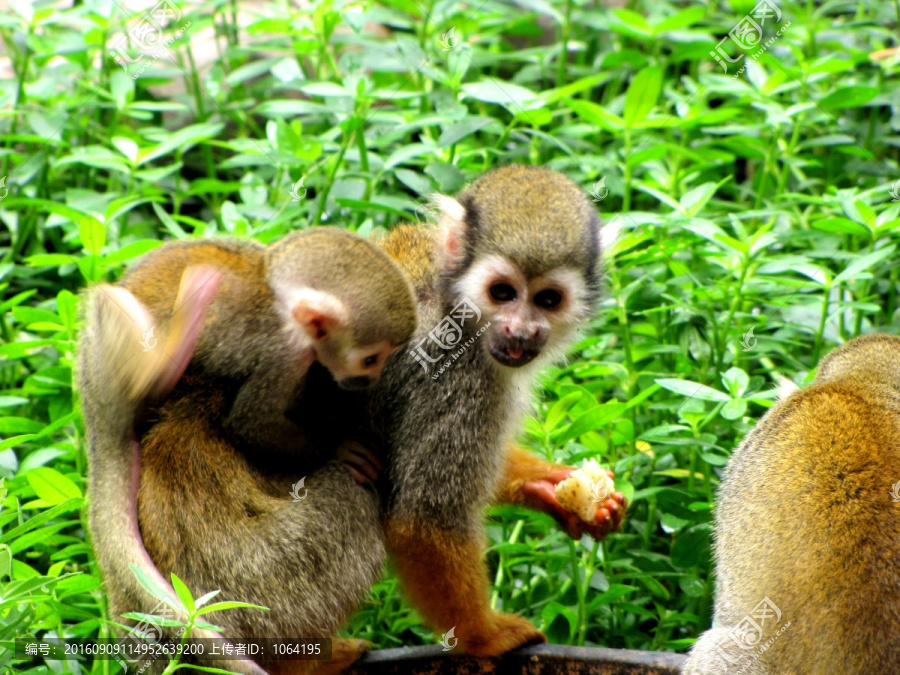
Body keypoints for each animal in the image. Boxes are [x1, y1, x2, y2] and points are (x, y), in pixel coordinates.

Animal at [370, 165, 628, 660]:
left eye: (548, 300)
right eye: (502, 292)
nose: (520, 331)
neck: (455, 306)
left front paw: (552, 487)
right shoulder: (454, 376)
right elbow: (424, 518)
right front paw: (482, 636)